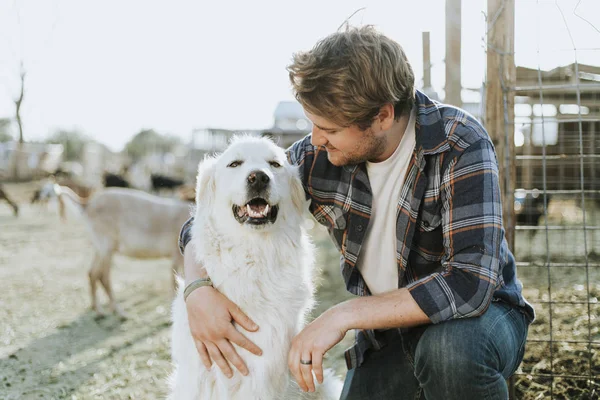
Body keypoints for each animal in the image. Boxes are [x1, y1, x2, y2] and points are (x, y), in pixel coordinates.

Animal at [39, 184, 192, 318]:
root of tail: (88, 204)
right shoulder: (177, 254)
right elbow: (175, 282)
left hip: (100, 247)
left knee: (92, 273)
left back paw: (98, 309)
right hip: (106, 245)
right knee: (103, 276)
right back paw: (117, 312)